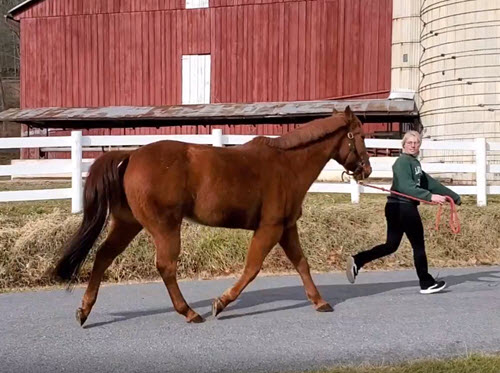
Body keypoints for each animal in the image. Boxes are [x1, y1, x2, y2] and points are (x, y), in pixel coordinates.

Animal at [53, 106, 372, 324]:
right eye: (359, 135)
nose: (366, 170)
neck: (287, 164)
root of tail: (131, 156)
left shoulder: (286, 227)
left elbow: (302, 264)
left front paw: (319, 301)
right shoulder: (270, 228)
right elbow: (252, 268)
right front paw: (221, 303)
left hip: (128, 224)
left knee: (103, 256)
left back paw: (85, 310)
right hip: (164, 227)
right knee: (165, 266)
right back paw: (189, 312)